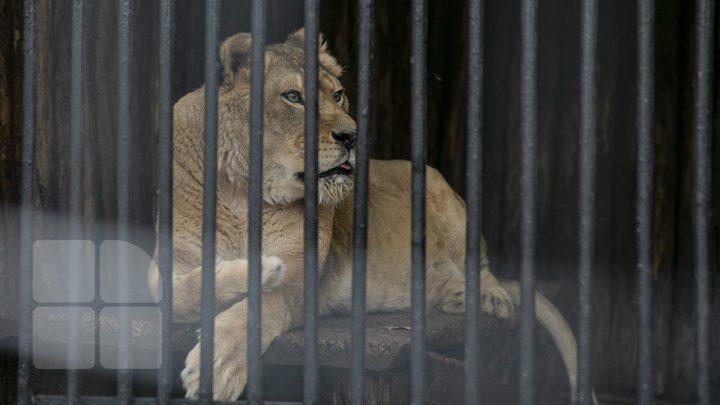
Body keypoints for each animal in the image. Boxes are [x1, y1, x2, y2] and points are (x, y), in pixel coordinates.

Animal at [145, 29, 596, 404]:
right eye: (293, 97)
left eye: (339, 95)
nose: (351, 135)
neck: (242, 193)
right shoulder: (170, 263)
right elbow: (174, 293)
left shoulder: (302, 277)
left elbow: (259, 309)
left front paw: (216, 364)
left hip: (439, 187)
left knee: (481, 265)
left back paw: (487, 295)